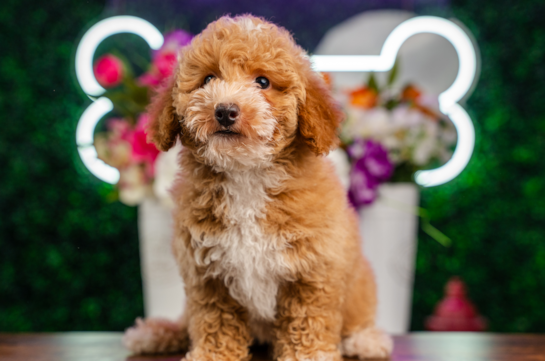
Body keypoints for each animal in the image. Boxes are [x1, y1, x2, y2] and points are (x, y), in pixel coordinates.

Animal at [124, 14, 392, 360]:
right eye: (208, 78)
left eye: (263, 82)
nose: (225, 110)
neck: (246, 174)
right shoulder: (206, 270)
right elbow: (214, 318)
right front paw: (212, 354)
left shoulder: (314, 266)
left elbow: (308, 315)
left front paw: (308, 354)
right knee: (184, 323)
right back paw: (154, 333)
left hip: (361, 282)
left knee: (358, 317)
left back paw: (365, 339)